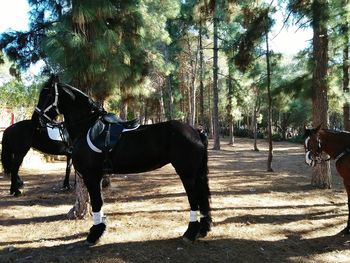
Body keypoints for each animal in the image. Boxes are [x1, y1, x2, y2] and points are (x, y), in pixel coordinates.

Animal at [35, 76, 212, 245]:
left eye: (47, 94)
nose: (37, 120)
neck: (86, 127)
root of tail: (195, 131)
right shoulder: (98, 176)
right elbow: (100, 202)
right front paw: (101, 229)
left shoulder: (91, 176)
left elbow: (97, 202)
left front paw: (94, 235)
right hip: (196, 174)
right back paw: (203, 228)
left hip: (187, 174)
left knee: (194, 199)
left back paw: (190, 233)